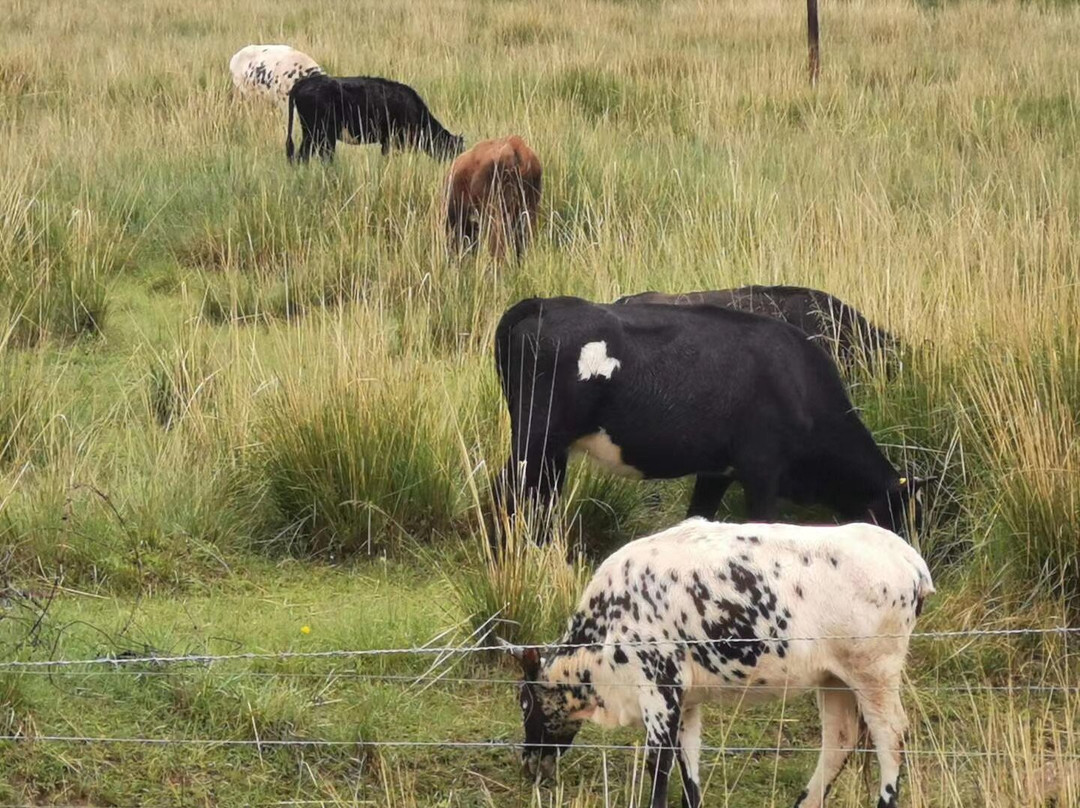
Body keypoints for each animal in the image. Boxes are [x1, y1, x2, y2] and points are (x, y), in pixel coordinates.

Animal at [494, 295, 933, 535]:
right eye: (901, 518)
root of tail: (546, 303)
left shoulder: (716, 472)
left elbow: (697, 517)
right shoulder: (761, 470)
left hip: (551, 449)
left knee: (541, 497)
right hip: (535, 438)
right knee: (510, 493)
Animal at [505, 518, 937, 808]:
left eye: (524, 702)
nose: (528, 763)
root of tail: (909, 560)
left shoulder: (658, 689)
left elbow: (659, 764)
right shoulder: (686, 700)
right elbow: (688, 764)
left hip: (874, 672)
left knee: (890, 736)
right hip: (834, 679)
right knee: (840, 739)